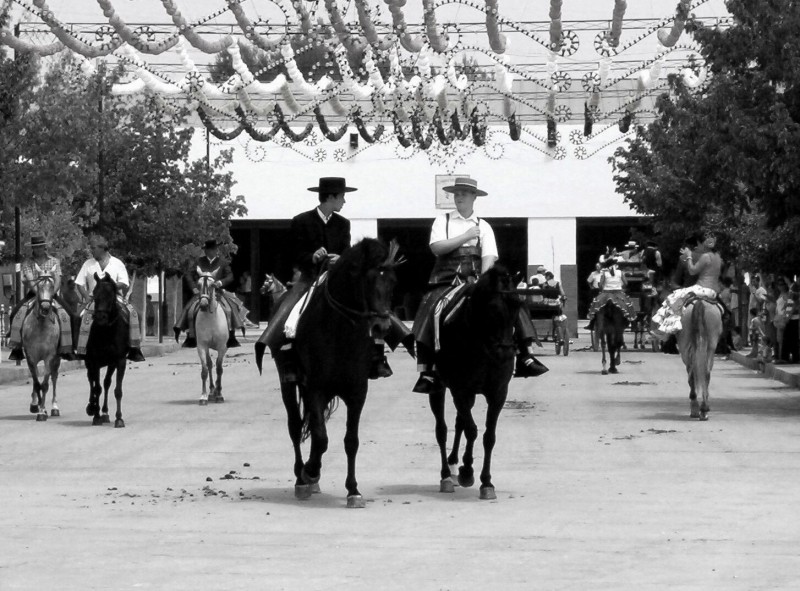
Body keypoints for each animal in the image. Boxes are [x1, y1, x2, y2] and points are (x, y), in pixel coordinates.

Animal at [85, 276, 130, 428]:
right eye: (95, 294)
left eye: (111, 296)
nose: (100, 318)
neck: (107, 332)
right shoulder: (95, 361)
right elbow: (96, 388)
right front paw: (96, 415)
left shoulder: (120, 361)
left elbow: (117, 390)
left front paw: (119, 418)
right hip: (89, 362)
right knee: (92, 381)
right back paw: (92, 407)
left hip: (111, 364)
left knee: (106, 383)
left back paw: (105, 412)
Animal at [194, 270, 228, 404]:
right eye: (198, 285)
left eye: (212, 285)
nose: (203, 305)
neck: (211, 319)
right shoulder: (202, 346)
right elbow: (204, 370)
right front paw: (203, 396)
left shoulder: (222, 347)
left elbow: (219, 368)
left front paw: (220, 395)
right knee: (209, 365)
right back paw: (212, 391)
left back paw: (217, 391)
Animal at [256, 238, 400, 506]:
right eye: (367, 279)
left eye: (392, 281)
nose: (381, 326)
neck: (339, 331)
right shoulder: (315, 388)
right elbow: (321, 437)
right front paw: (309, 472)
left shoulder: (357, 392)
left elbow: (350, 440)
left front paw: (353, 490)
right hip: (288, 384)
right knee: (295, 427)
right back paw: (302, 479)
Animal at [424, 266, 520, 502]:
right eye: (493, 309)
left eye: (518, 306)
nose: (506, 353)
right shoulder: (460, 389)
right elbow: (472, 430)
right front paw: (467, 471)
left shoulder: (498, 393)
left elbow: (488, 436)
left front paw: (486, 482)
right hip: (439, 389)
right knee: (442, 429)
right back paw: (447, 476)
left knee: (459, 422)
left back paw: (453, 464)